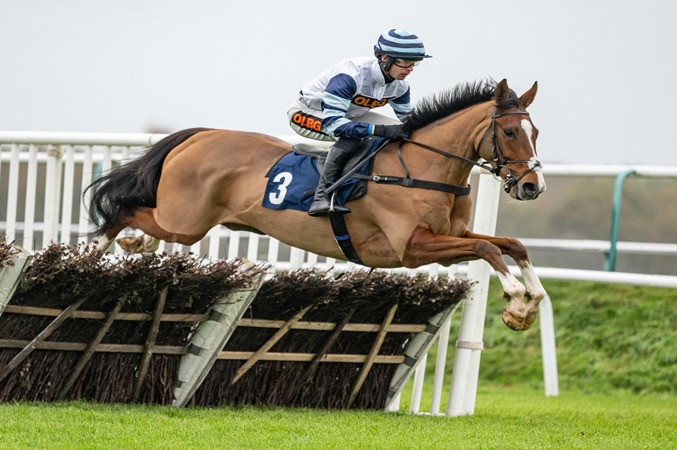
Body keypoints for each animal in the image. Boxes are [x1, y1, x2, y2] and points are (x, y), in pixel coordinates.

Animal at [85, 78, 547, 331]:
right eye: (509, 132)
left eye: (535, 131)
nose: (532, 186)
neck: (422, 168)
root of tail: (200, 134)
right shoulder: (412, 248)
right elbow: (487, 248)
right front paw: (514, 299)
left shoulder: (451, 238)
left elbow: (510, 244)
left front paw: (529, 302)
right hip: (184, 222)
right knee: (124, 210)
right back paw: (96, 253)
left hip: (183, 221)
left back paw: (135, 246)